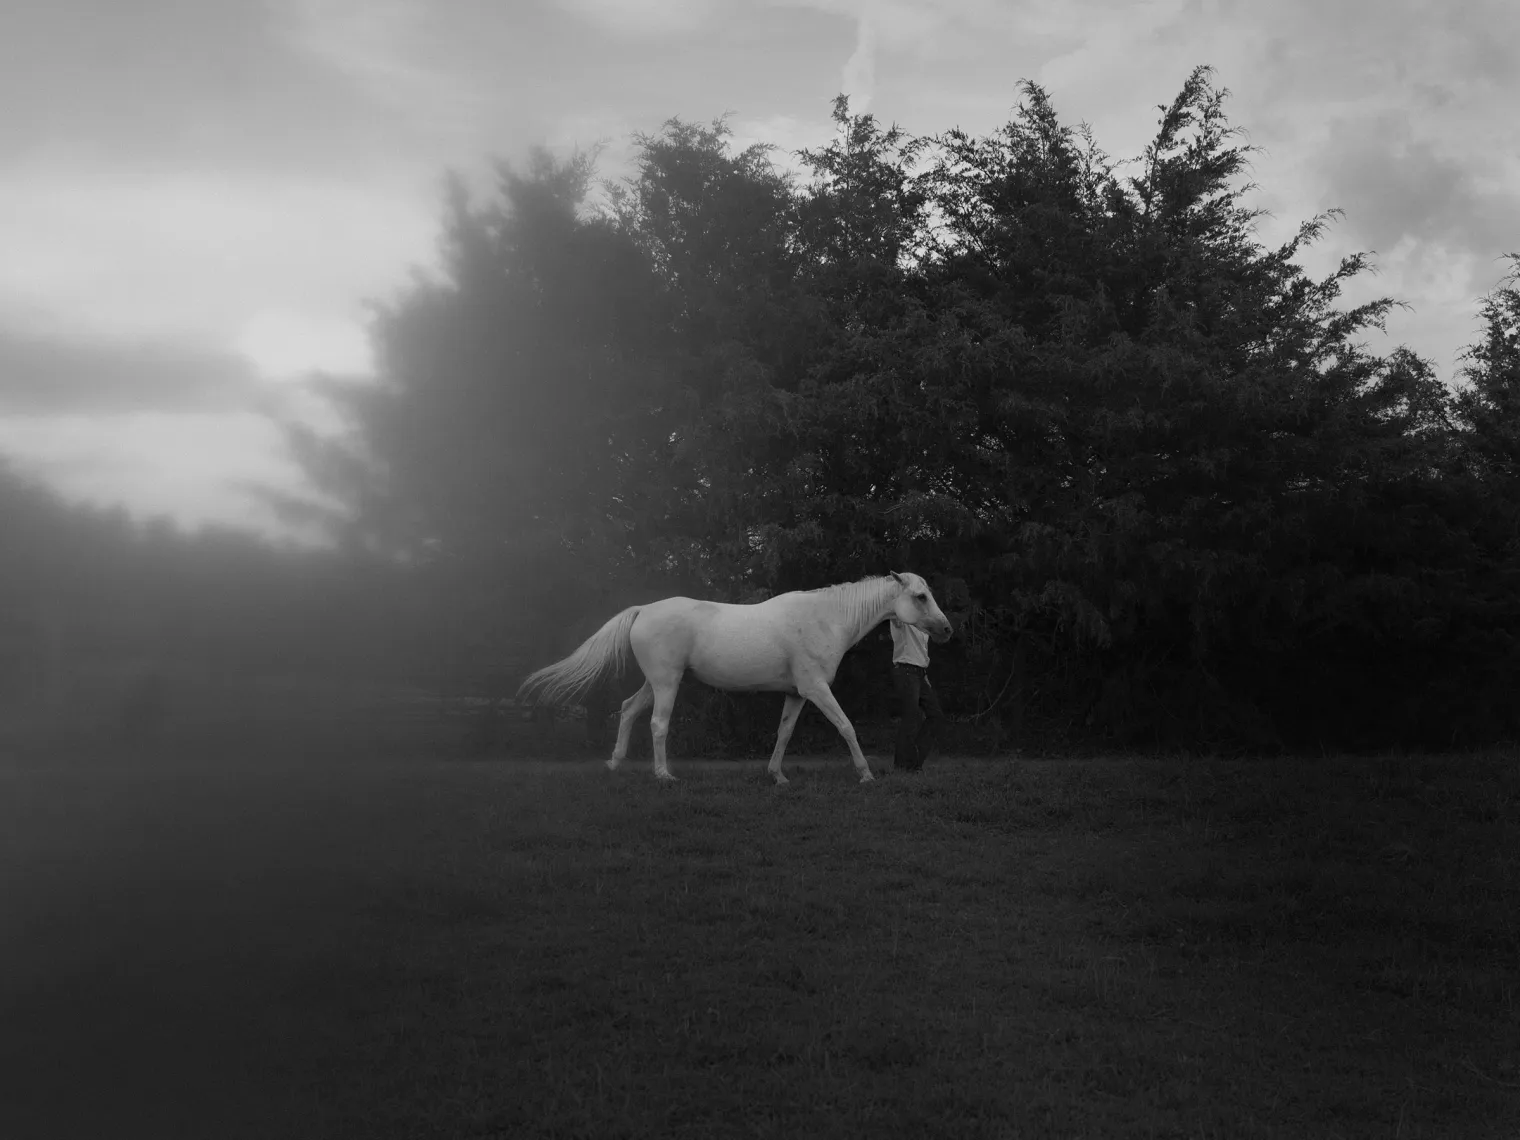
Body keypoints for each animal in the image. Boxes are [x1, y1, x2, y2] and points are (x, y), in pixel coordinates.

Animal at [515, 572, 953, 785]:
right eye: (920, 597)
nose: (947, 629)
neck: (826, 619)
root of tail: (643, 610)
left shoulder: (797, 694)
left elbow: (783, 733)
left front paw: (777, 776)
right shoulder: (816, 689)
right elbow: (846, 727)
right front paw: (865, 775)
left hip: (655, 682)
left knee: (627, 710)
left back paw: (615, 763)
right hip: (667, 683)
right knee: (657, 723)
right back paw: (663, 775)